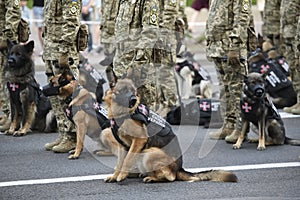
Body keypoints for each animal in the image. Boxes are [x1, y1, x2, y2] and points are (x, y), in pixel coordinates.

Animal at [103, 79, 237, 184]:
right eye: (124, 90)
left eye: (134, 91)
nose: (134, 100)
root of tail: (179, 169)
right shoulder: (122, 146)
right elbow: (120, 162)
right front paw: (115, 176)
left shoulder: (139, 140)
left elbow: (127, 159)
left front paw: (121, 176)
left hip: (149, 152)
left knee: (170, 177)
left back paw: (151, 178)